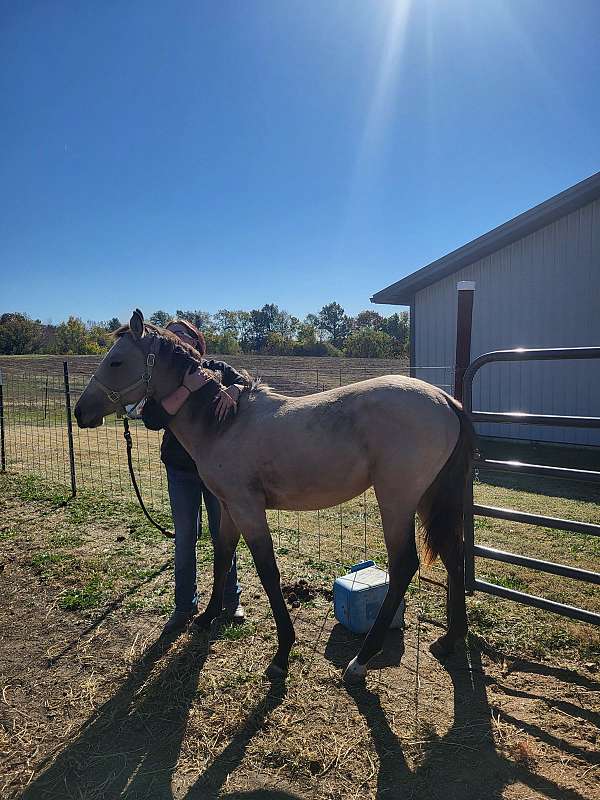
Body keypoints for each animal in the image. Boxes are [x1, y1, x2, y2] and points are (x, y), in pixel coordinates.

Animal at [75, 310, 476, 680]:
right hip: (426, 499)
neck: (223, 422)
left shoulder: (248, 510)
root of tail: (445, 400)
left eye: (115, 360)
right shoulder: (228, 508)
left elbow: (267, 570)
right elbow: (222, 557)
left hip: (396, 500)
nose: (81, 411)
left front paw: (283, 652)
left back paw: (361, 660)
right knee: (452, 554)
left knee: (405, 563)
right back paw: (449, 640)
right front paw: (208, 617)